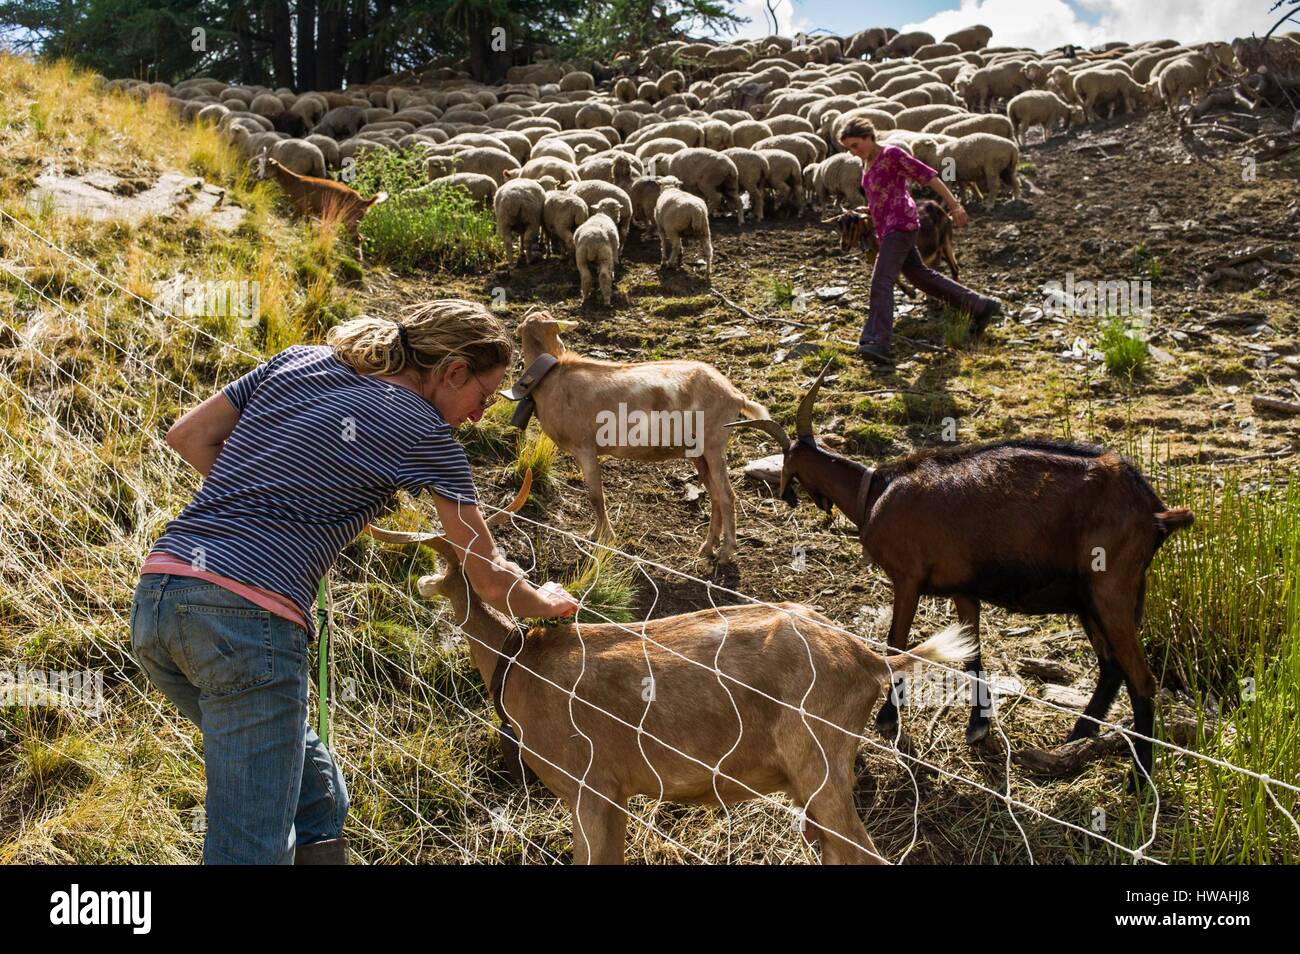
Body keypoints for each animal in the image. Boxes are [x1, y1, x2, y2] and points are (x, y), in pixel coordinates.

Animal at [517, 314, 764, 564]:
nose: (561, 347)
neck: (553, 380)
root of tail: (736, 396)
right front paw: (597, 533)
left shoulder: (585, 448)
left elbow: (596, 496)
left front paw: (604, 536)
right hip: (699, 453)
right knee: (715, 496)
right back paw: (707, 548)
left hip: (713, 443)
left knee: (727, 495)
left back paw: (726, 552)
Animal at [826, 204, 961, 300]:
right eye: (839, 226)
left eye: (853, 226)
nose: (843, 245)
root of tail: (943, 212)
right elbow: (893, 279)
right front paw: (911, 293)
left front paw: (912, 293)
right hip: (935, 251)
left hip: (945, 242)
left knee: (954, 267)